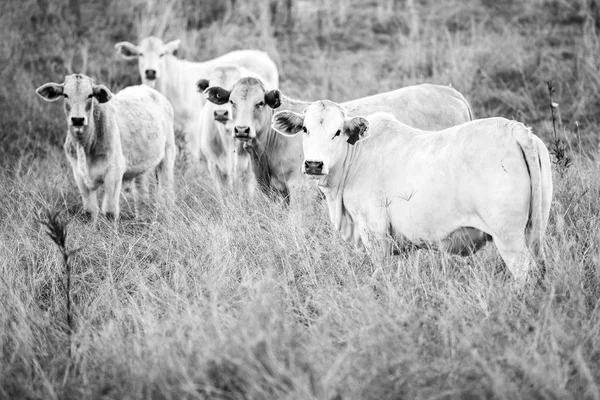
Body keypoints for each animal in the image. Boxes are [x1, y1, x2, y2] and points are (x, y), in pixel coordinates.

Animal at [35, 73, 176, 220]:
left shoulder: (114, 173)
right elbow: (89, 212)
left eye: (90, 95)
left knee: (167, 193)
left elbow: (110, 212)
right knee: (141, 194)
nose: (78, 119)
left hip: (168, 154)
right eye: (65, 94)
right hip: (141, 165)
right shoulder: (79, 175)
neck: (85, 146)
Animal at [114, 35, 278, 171]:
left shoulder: (192, 126)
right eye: (140, 54)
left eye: (161, 54)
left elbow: (192, 159)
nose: (150, 72)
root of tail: (262, 55)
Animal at [274, 101, 552, 282]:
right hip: (535, 229)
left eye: (338, 131)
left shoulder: (375, 233)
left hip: (508, 236)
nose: (314, 164)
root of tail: (514, 128)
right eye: (306, 129)